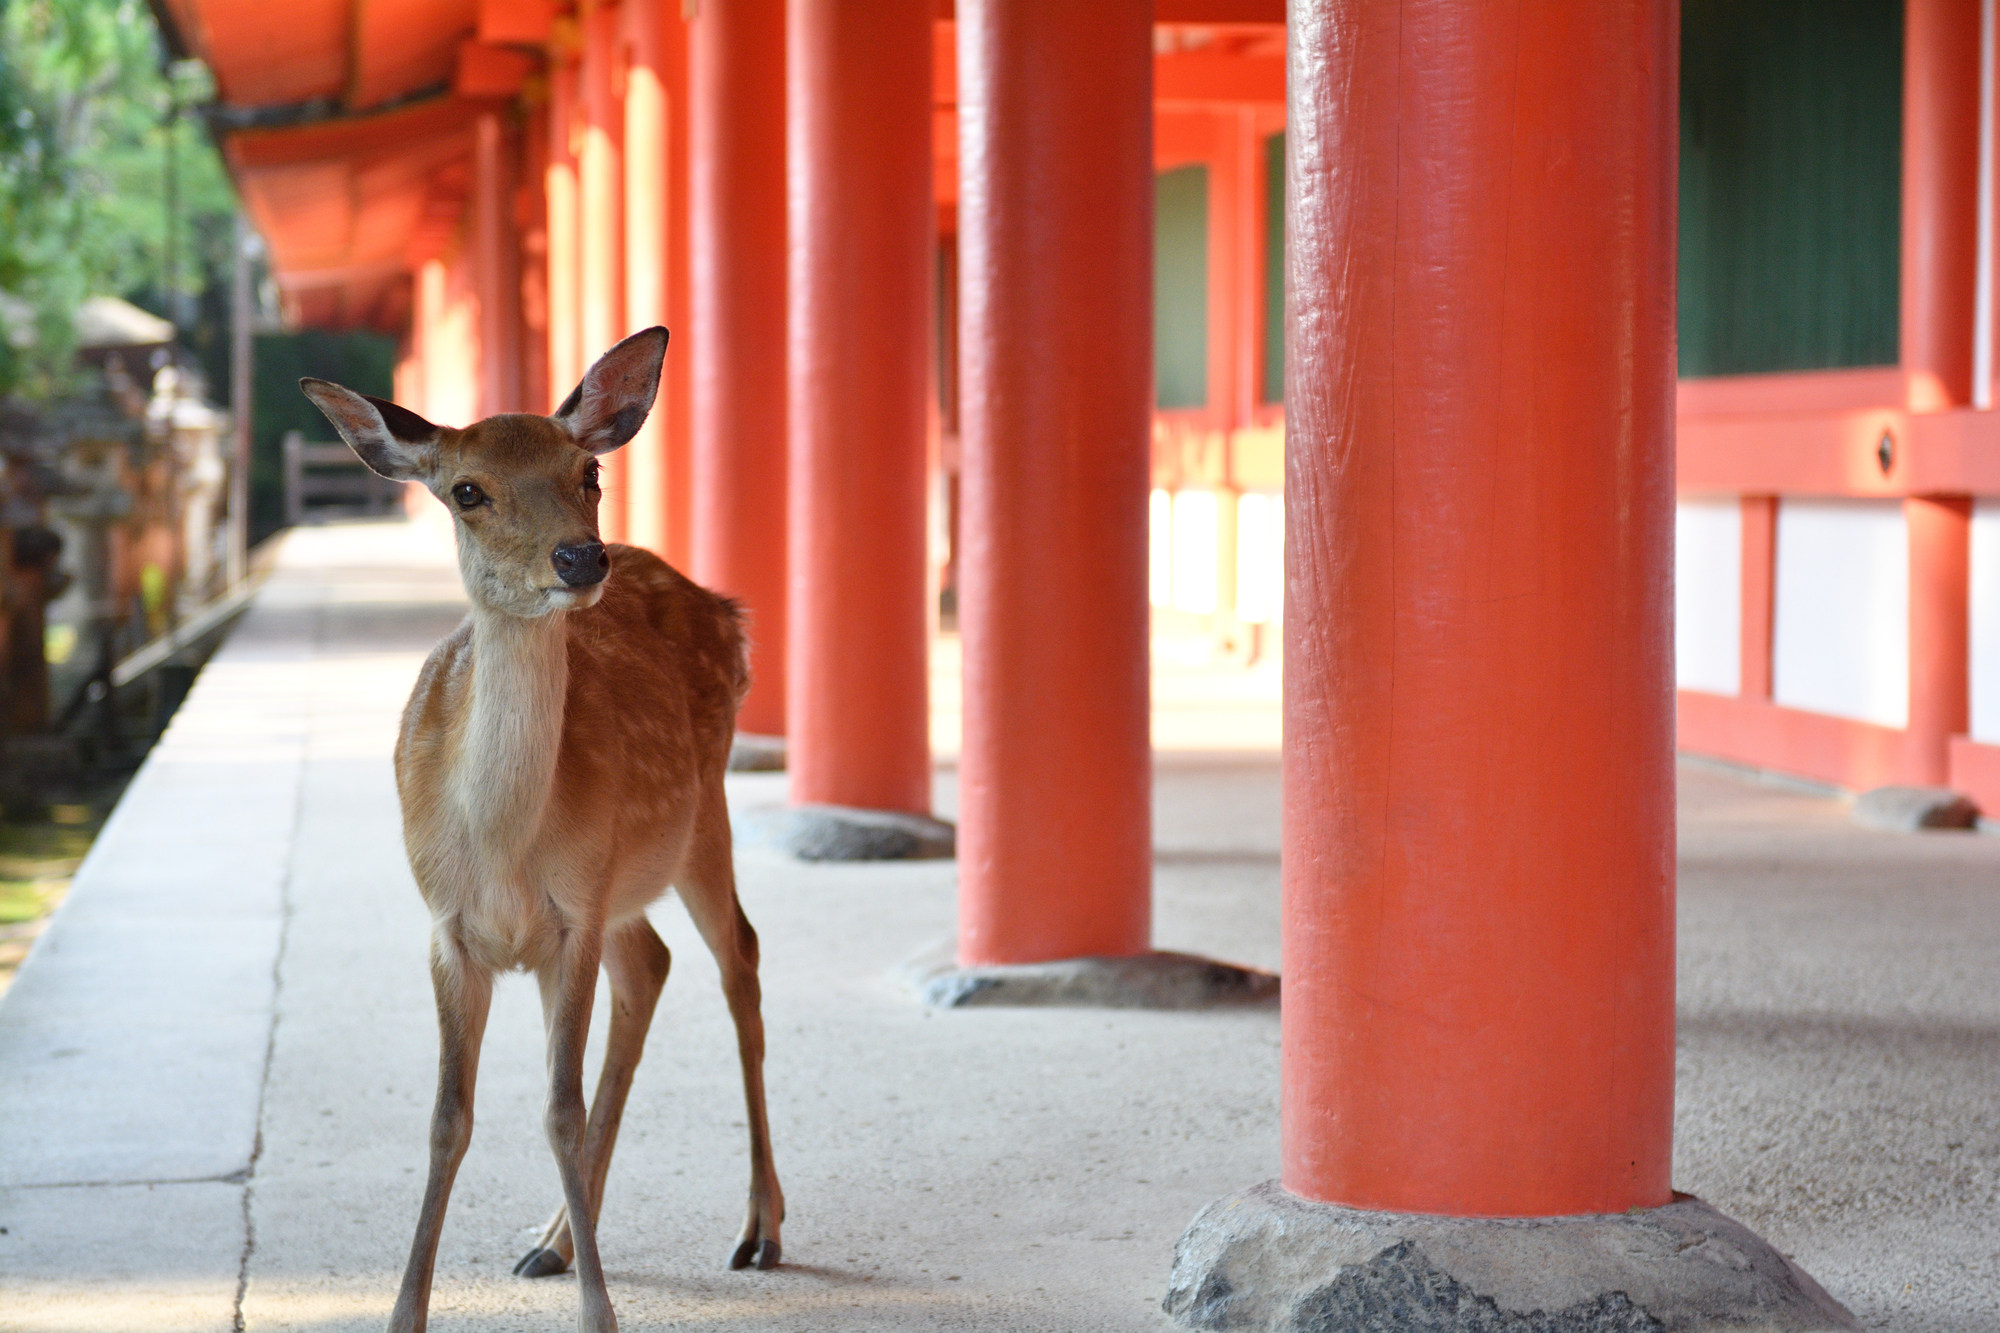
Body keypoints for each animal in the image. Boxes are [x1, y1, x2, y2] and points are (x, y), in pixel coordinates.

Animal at [296, 324, 780, 1328]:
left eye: (587, 470)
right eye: (466, 490)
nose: (579, 558)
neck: (501, 848)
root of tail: (726, 607)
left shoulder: (571, 919)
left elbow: (557, 1108)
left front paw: (602, 1314)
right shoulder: (449, 928)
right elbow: (449, 1117)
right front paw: (404, 1311)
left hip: (698, 817)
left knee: (738, 958)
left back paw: (759, 1228)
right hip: (630, 876)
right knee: (655, 964)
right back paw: (551, 1239)